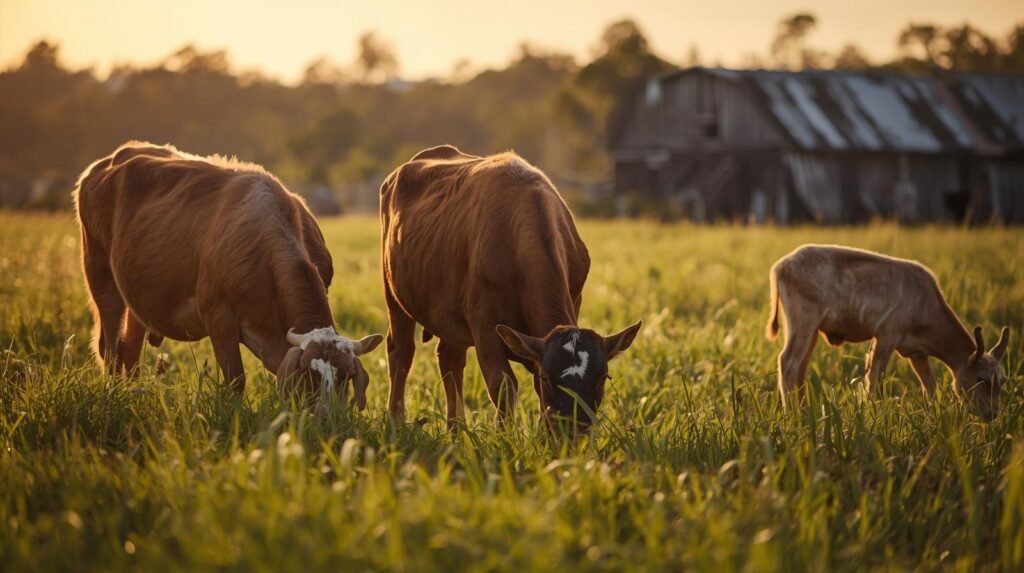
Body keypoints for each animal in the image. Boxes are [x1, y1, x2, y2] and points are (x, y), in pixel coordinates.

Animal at [73, 141, 383, 407]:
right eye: (308, 371)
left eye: (346, 376)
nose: (325, 417)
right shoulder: (218, 316)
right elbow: (235, 379)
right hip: (100, 275)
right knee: (110, 349)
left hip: (138, 297)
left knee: (130, 350)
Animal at [380, 144, 642, 432]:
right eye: (548, 378)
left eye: (602, 377)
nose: (572, 430)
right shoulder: (484, 323)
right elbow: (503, 385)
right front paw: (504, 436)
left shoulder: (573, 303)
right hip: (393, 293)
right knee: (401, 352)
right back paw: (396, 420)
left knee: (450, 360)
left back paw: (456, 430)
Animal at [766, 244, 1010, 419]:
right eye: (981, 379)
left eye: (1002, 380)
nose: (992, 414)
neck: (926, 303)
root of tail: (780, 265)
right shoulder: (886, 336)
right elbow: (875, 378)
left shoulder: (917, 353)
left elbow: (930, 386)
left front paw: (936, 415)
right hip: (803, 325)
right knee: (788, 362)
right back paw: (793, 415)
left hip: (811, 331)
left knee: (800, 368)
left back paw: (805, 413)